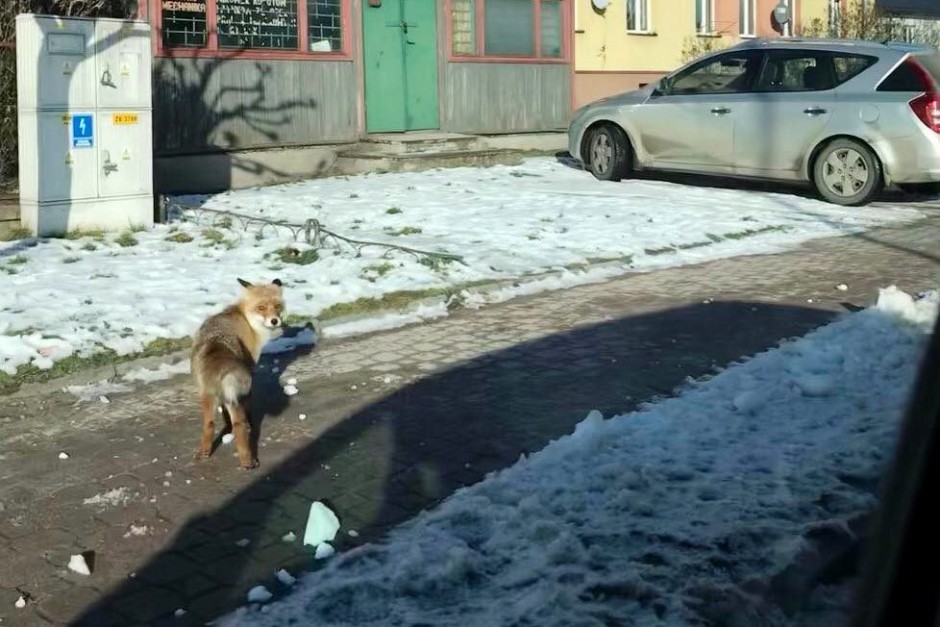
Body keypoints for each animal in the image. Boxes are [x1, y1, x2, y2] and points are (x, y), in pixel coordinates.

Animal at [187, 280, 282, 472]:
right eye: (261, 307)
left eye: (277, 306)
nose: (275, 321)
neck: (246, 319)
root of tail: (216, 344)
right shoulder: (250, 370)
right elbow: (249, 408)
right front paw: (251, 424)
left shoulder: (223, 396)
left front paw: (227, 427)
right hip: (233, 398)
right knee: (239, 426)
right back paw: (247, 461)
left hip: (207, 396)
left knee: (209, 425)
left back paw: (205, 453)